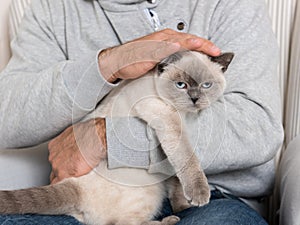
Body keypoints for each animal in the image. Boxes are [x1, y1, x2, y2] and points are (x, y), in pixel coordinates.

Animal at [0, 50, 234, 224]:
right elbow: (187, 158)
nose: (195, 99)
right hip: (150, 193)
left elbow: (177, 179)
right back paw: (169, 221)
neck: (185, 114)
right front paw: (200, 195)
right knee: (122, 223)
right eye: (181, 85)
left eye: (206, 85)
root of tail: (75, 187)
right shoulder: (166, 119)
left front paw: (185, 205)